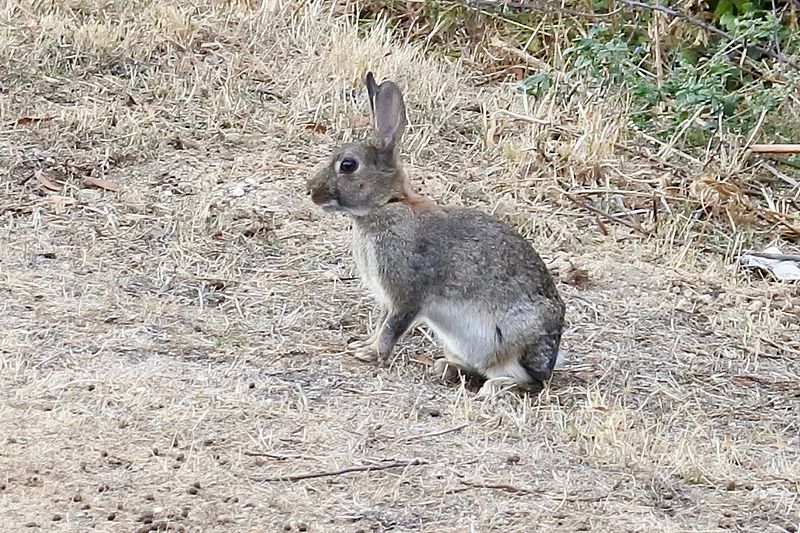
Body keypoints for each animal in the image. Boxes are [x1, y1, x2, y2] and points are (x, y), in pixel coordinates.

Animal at [304, 70, 564, 394]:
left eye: (348, 165)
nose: (311, 190)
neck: (387, 205)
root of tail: (551, 358)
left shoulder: (407, 294)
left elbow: (392, 327)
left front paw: (370, 354)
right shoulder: (387, 298)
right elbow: (381, 323)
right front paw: (362, 344)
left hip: (515, 340)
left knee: (529, 382)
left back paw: (496, 387)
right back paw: (447, 368)